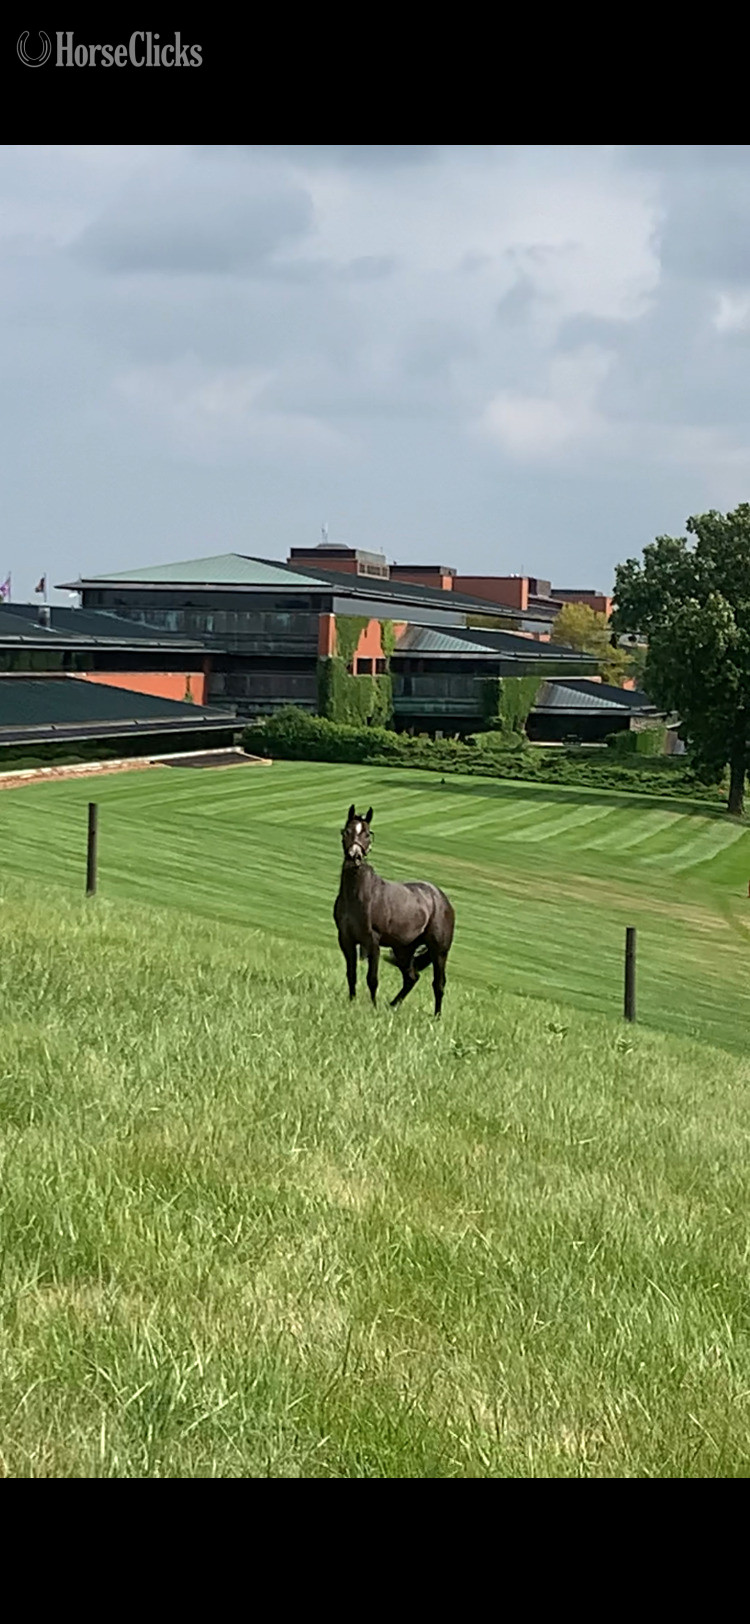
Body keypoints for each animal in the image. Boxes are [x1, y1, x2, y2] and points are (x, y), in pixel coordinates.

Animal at [333, 804, 456, 1018]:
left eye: (367, 833)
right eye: (347, 831)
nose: (355, 857)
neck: (357, 893)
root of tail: (442, 900)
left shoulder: (372, 941)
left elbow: (372, 978)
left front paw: (373, 1007)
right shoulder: (346, 939)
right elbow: (351, 974)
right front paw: (352, 1001)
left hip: (439, 951)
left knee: (438, 984)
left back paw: (436, 1017)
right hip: (403, 949)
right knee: (411, 977)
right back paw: (392, 1005)